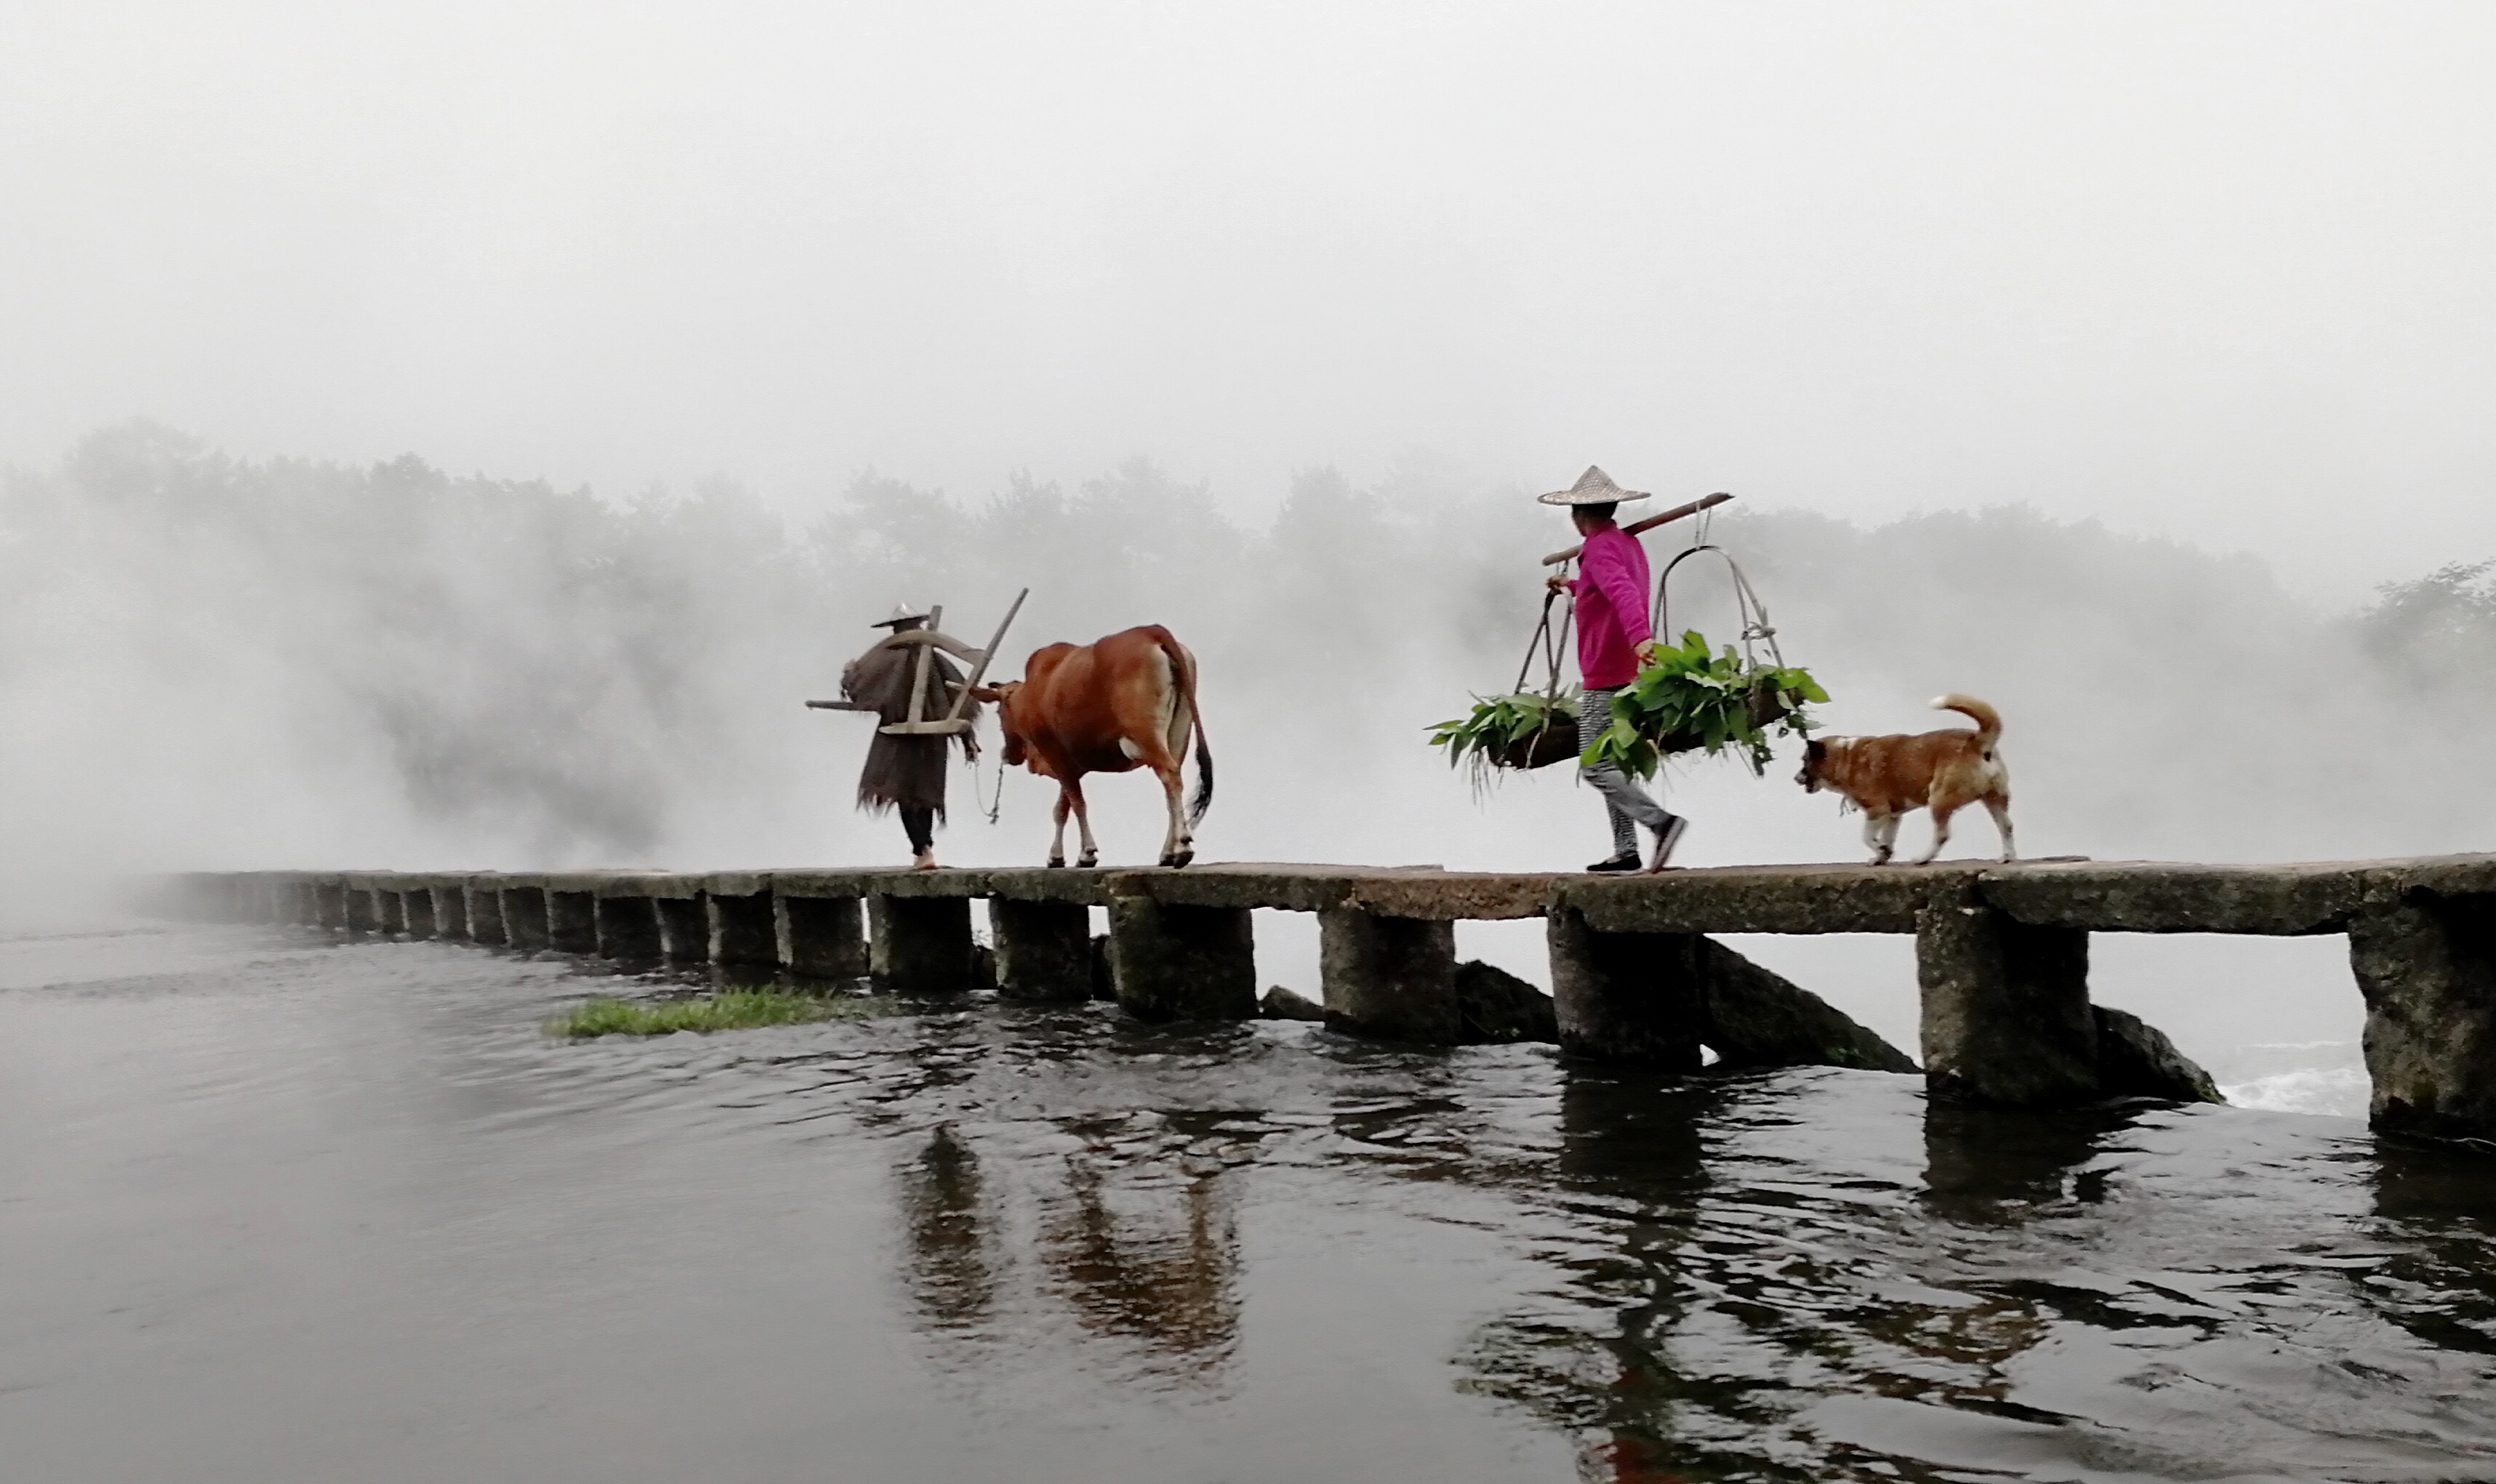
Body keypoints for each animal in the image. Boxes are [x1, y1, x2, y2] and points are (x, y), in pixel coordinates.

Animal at [968, 623, 1213, 873]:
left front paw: (1086, 853)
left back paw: (1182, 848)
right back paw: (1168, 853)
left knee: (1169, 775)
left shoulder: (1055, 755)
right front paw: (1057, 857)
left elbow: (1077, 804)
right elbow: (1062, 808)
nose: (1008, 754)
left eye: (999, 712)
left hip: (1146, 733)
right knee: (1172, 786)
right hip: (1179, 734)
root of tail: (1152, 630)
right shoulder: (1071, 765)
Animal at [1797, 698, 2007, 862]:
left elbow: (1867, 837)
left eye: (1804, 761)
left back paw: (1923, 859)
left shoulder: (1877, 810)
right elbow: (1887, 838)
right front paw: (1882, 857)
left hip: (1939, 800)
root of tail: (1977, 741)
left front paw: (1881, 850)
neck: (1845, 757)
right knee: (2006, 827)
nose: (1795, 778)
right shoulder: (1893, 815)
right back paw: (2007, 857)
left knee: (1942, 835)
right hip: (1995, 798)